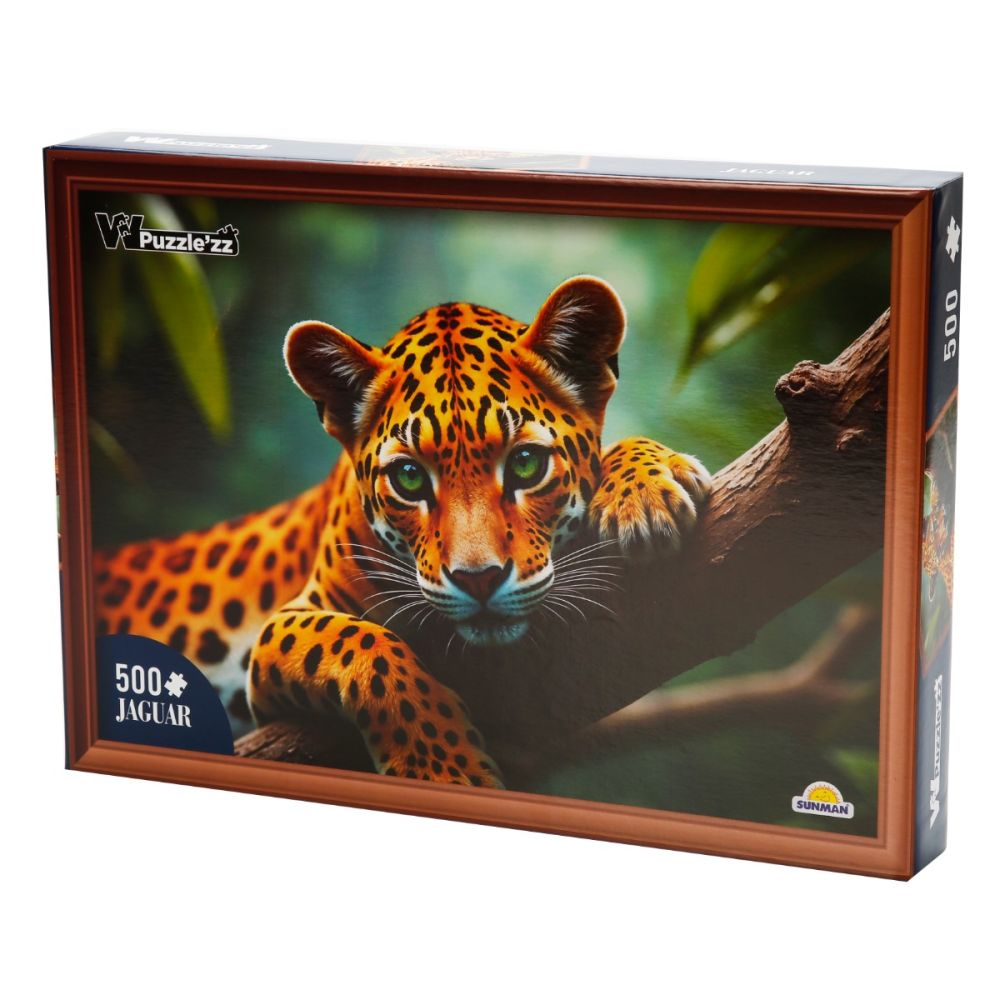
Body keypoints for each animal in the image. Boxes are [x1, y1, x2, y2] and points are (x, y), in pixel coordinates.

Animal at [93, 276, 711, 788]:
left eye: (527, 465)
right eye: (410, 478)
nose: (479, 579)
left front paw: (645, 486)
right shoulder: (279, 635)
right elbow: (365, 645)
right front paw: (443, 769)